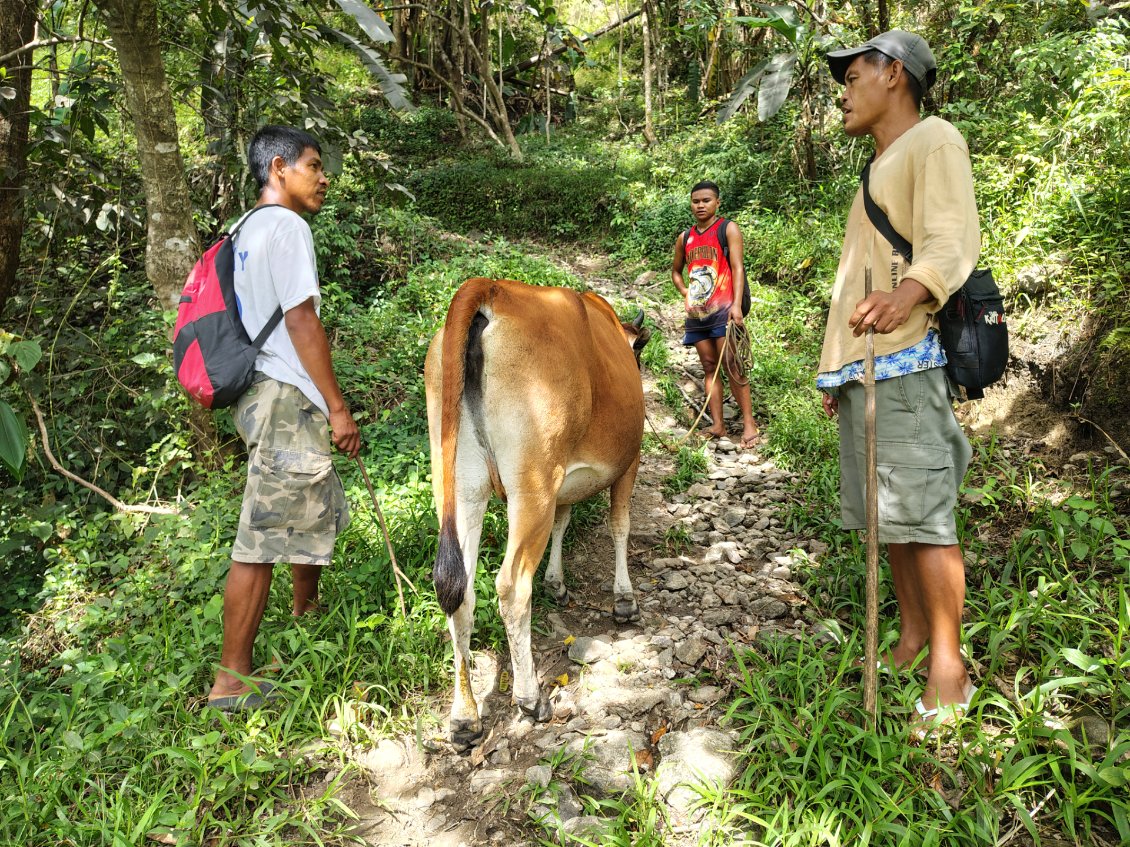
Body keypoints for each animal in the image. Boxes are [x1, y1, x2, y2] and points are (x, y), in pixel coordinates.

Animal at [424, 278, 655, 749]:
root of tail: (492, 288)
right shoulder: (629, 462)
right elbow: (620, 525)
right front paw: (624, 599)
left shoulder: (567, 482)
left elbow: (563, 524)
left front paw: (557, 581)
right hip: (533, 483)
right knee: (511, 587)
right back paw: (530, 699)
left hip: (457, 485)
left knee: (459, 590)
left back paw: (465, 717)